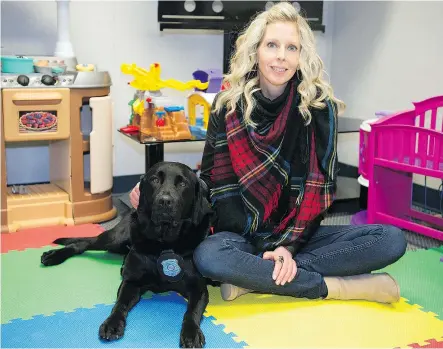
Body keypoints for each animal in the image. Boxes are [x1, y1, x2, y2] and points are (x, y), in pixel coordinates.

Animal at [40, 162, 214, 346]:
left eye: (182, 184)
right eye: (154, 180)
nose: (165, 201)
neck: (164, 242)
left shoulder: (198, 289)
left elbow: (191, 312)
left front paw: (191, 333)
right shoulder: (131, 282)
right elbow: (120, 304)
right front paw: (112, 323)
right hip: (116, 238)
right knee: (84, 243)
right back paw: (53, 255)